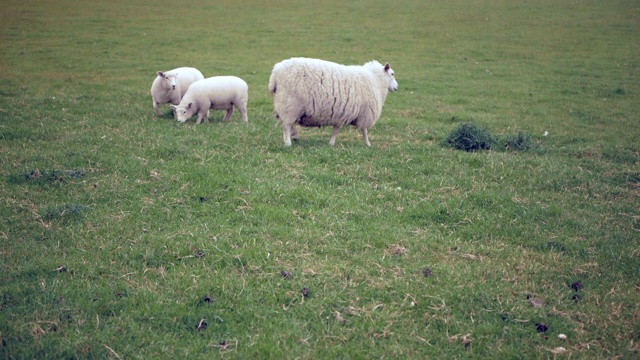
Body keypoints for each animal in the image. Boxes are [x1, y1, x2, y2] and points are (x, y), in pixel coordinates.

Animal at [268, 57, 398, 146]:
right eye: (392, 74)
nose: (397, 88)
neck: (376, 80)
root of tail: (275, 72)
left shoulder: (342, 112)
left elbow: (336, 130)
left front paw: (331, 143)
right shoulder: (364, 113)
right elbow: (364, 130)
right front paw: (368, 144)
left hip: (290, 106)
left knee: (290, 124)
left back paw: (294, 136)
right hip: (290, 103)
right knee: (286, 125)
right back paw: (288, 143)